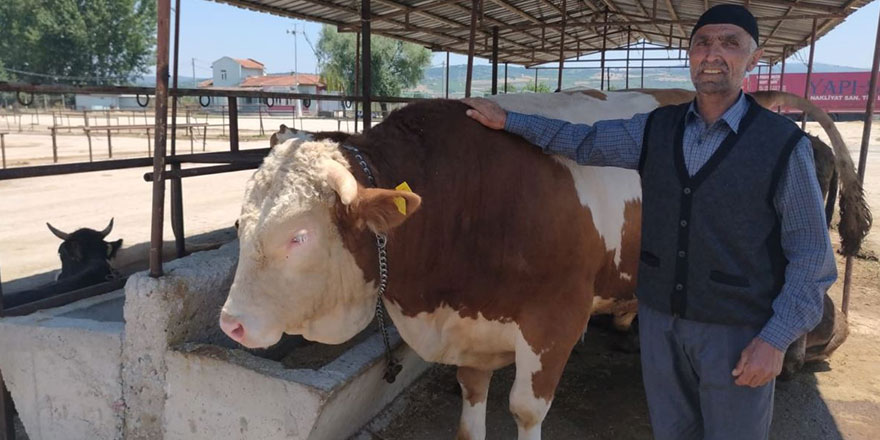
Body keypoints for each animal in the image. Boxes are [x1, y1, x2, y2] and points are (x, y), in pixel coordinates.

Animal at [218, 88, 868, 436]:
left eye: (299, 236)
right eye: (239, 225)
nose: (231, 323)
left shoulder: (555, 320)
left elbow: (526, 408)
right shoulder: (471, 326)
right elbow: (470, 407)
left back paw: (789, 363)